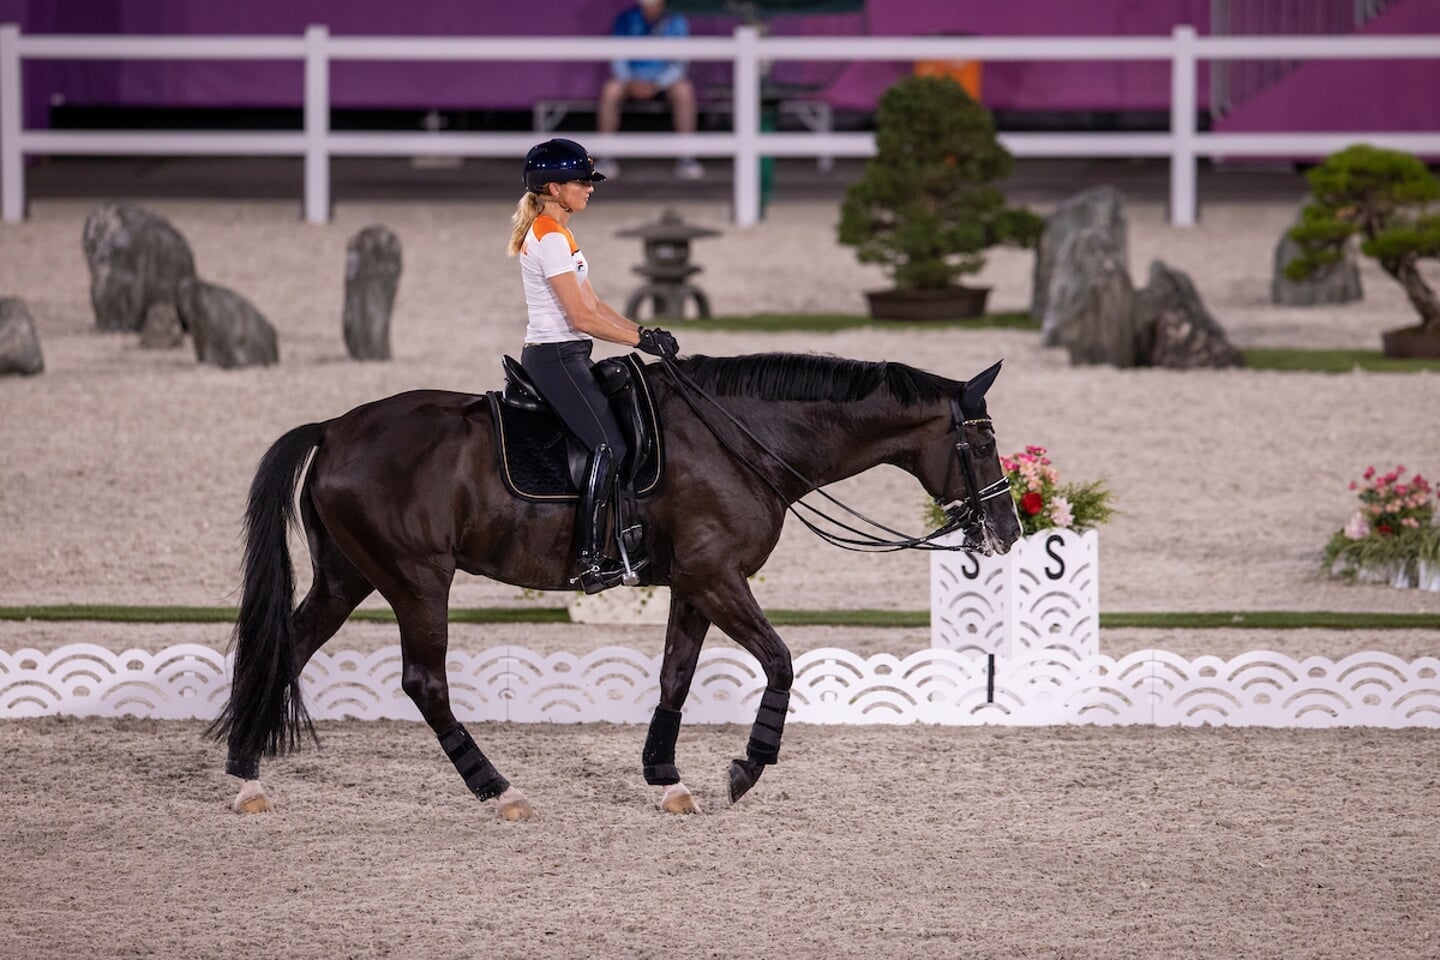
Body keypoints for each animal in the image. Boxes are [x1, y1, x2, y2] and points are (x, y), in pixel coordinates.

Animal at [210, 352, 1025, 817]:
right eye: (984, 440)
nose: (1009, 530)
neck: (740, 435)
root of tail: (333, 429)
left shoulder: (695, 583)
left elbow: (676, 676)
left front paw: (666, 778)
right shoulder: (718, 576)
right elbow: (781, 661)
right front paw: (745, 768)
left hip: (348, 575)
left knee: (282, 651)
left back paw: (246, 778)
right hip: (416, 580)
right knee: (424, 683)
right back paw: (498, 790)